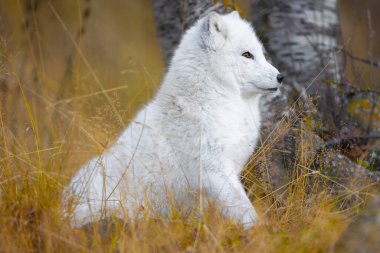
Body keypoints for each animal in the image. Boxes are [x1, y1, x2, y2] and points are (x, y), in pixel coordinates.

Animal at [64, 10, 282, 228]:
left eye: (262, 54)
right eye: (247, 55)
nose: (281, 77)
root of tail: (62, 207)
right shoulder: (214, 169)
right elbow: (242, 207)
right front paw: (260, 230)